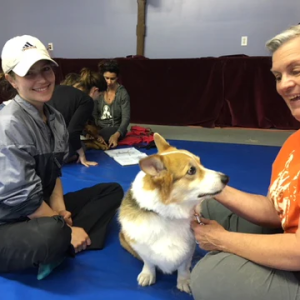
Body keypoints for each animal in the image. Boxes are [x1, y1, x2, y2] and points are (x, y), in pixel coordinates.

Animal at [118, 134, 229, 292]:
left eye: (201, 163)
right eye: (191, 170)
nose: (226, 178)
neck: (168, 214)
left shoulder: (188, 249)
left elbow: (183, 267)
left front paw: (184, 281)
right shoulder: (141, 246)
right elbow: (148, 262)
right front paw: (147, 274)